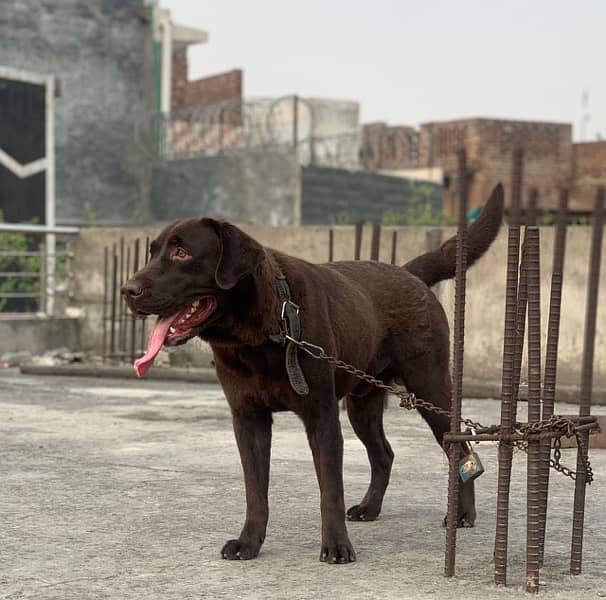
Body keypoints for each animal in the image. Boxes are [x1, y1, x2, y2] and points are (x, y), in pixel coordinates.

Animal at [121, 185, 506, 564]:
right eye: (152, 253)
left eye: (182, 252)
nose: (128, 290)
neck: (263, 331)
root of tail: (408, 272)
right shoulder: (248, 418)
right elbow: (255, 490)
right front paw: (249, 542)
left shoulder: (321, 416)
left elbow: (330, 490)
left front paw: (336, 547)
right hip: (362, 404)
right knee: (384, 454)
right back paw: (369, 508)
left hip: (430, 387)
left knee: (459, 447)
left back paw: (461, 515)